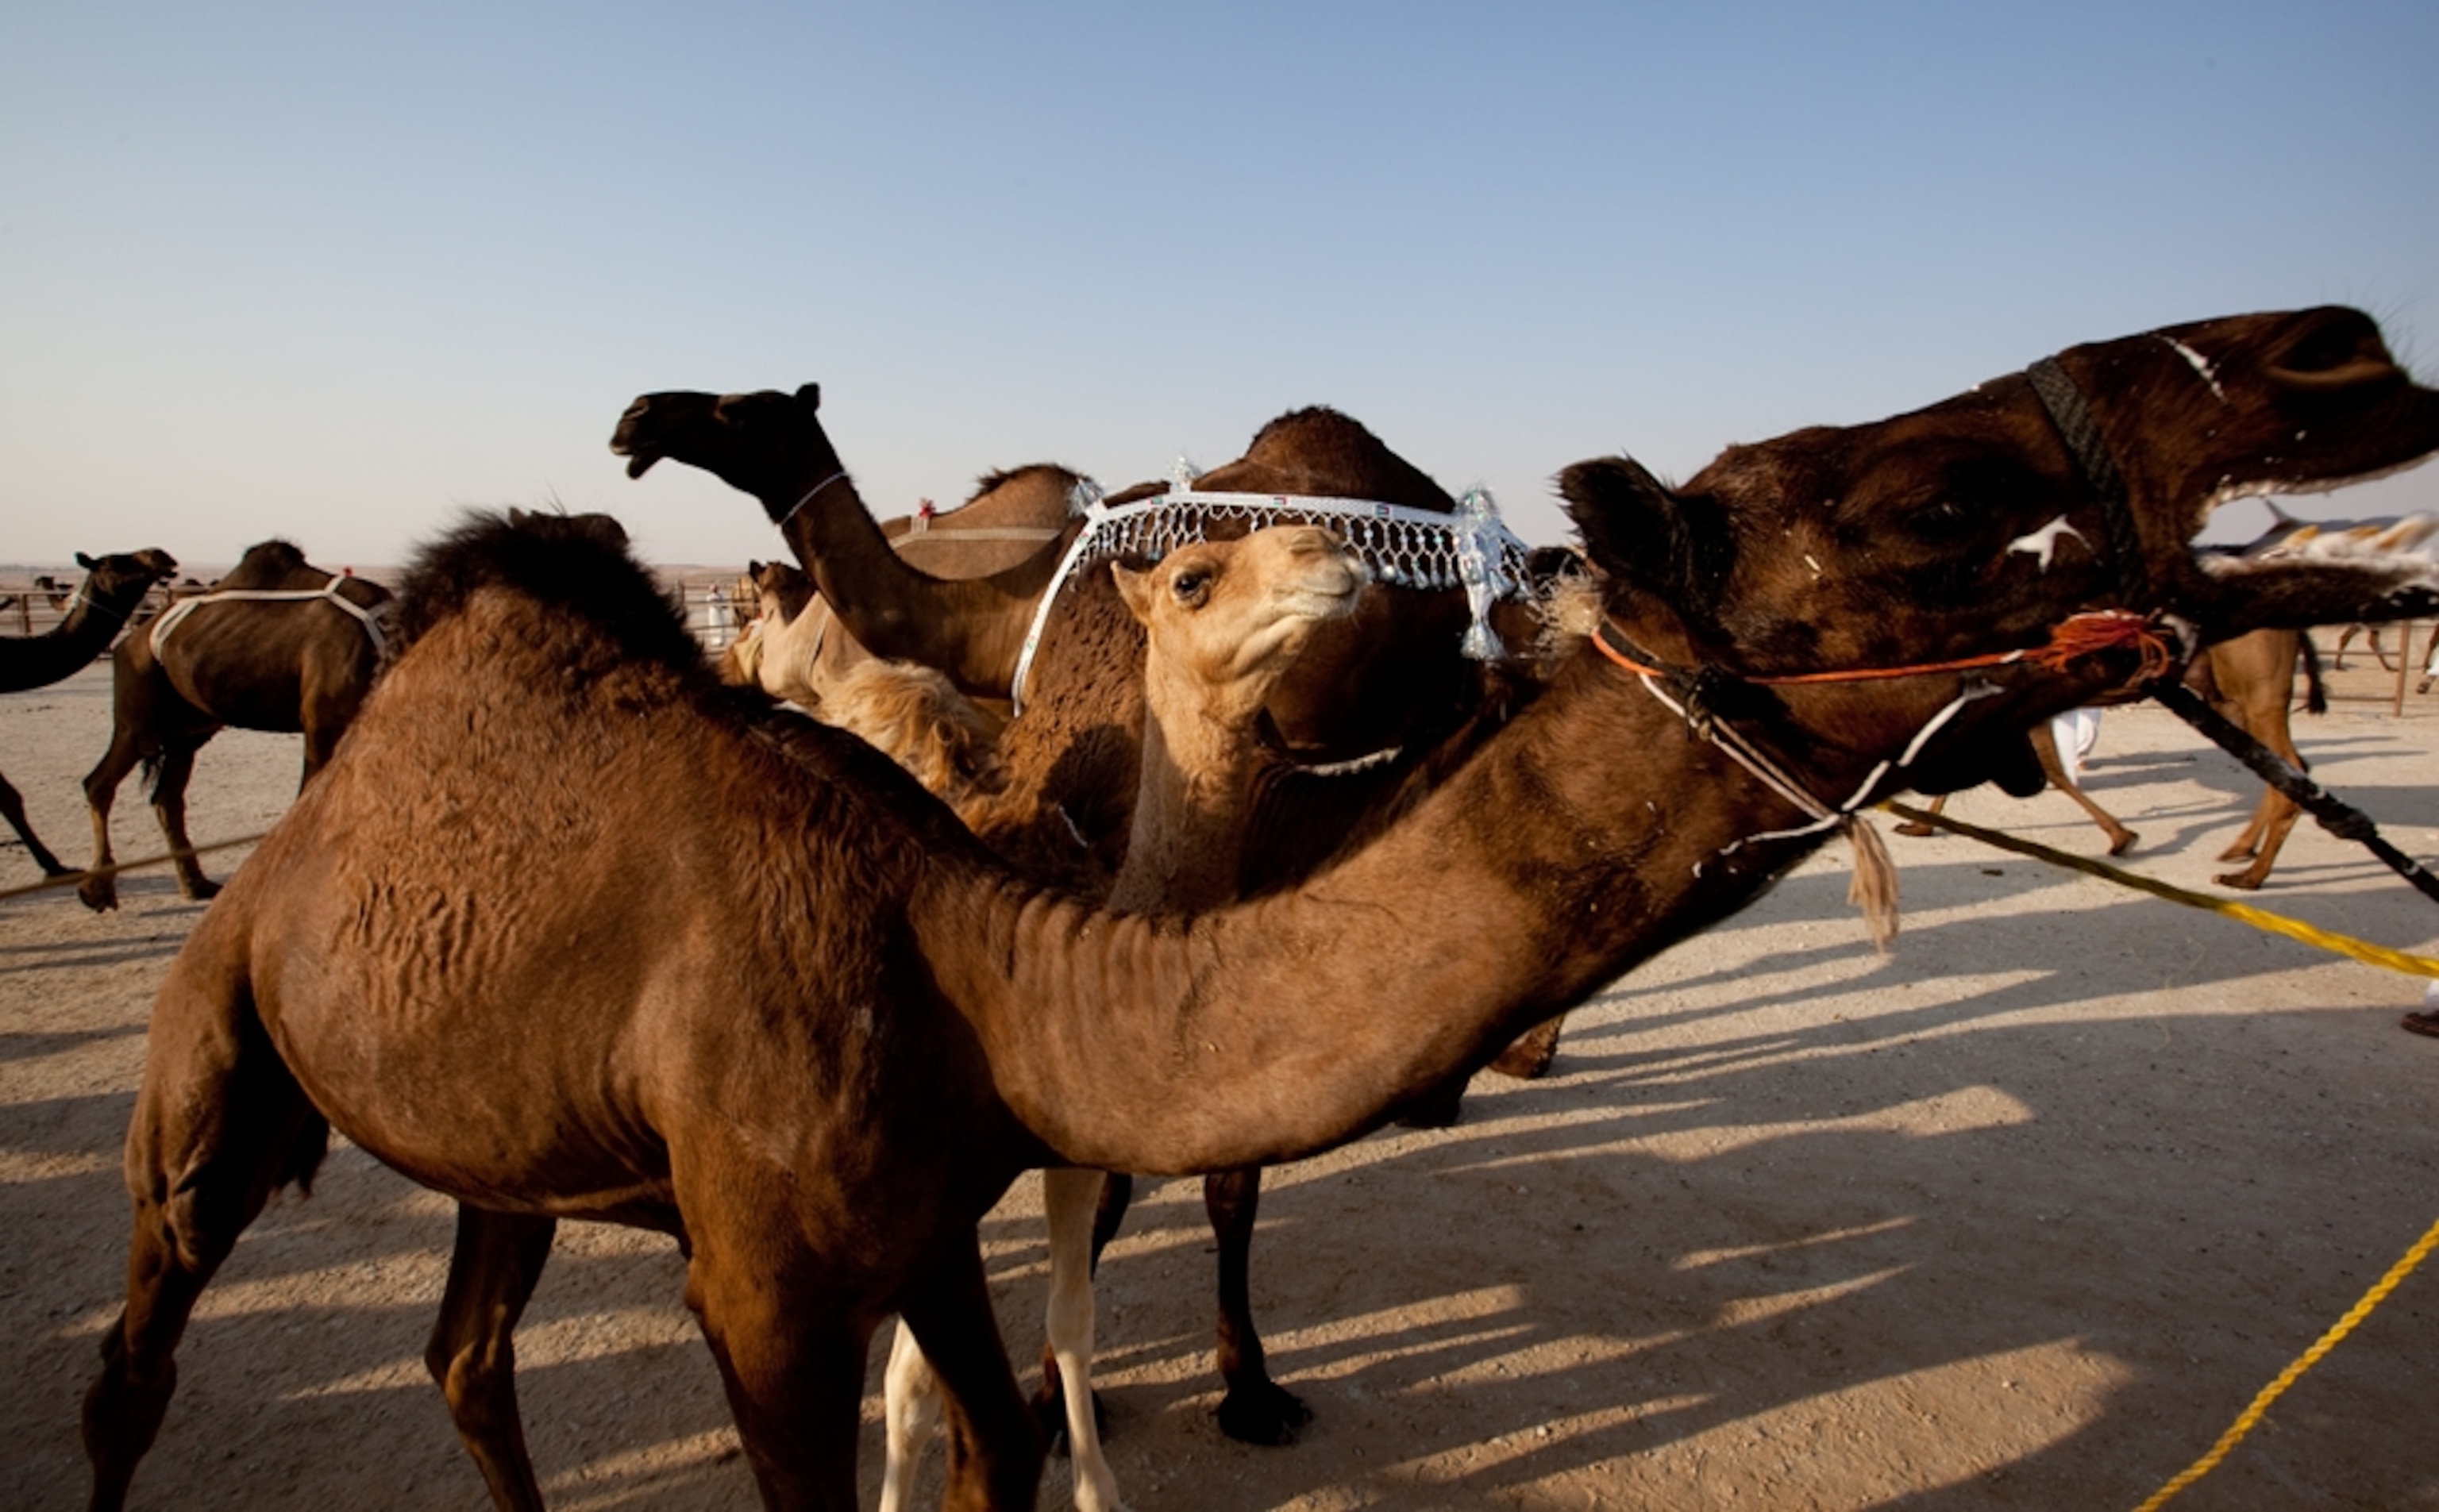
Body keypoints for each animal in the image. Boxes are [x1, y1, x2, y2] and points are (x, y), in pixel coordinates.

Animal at [76, 540, 393, 911]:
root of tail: (132, 639)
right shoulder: (323, 722)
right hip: (137, 706)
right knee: (100, 781)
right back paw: (96, 892)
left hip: (191, 728)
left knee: (167, 796)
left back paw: (196, 885)